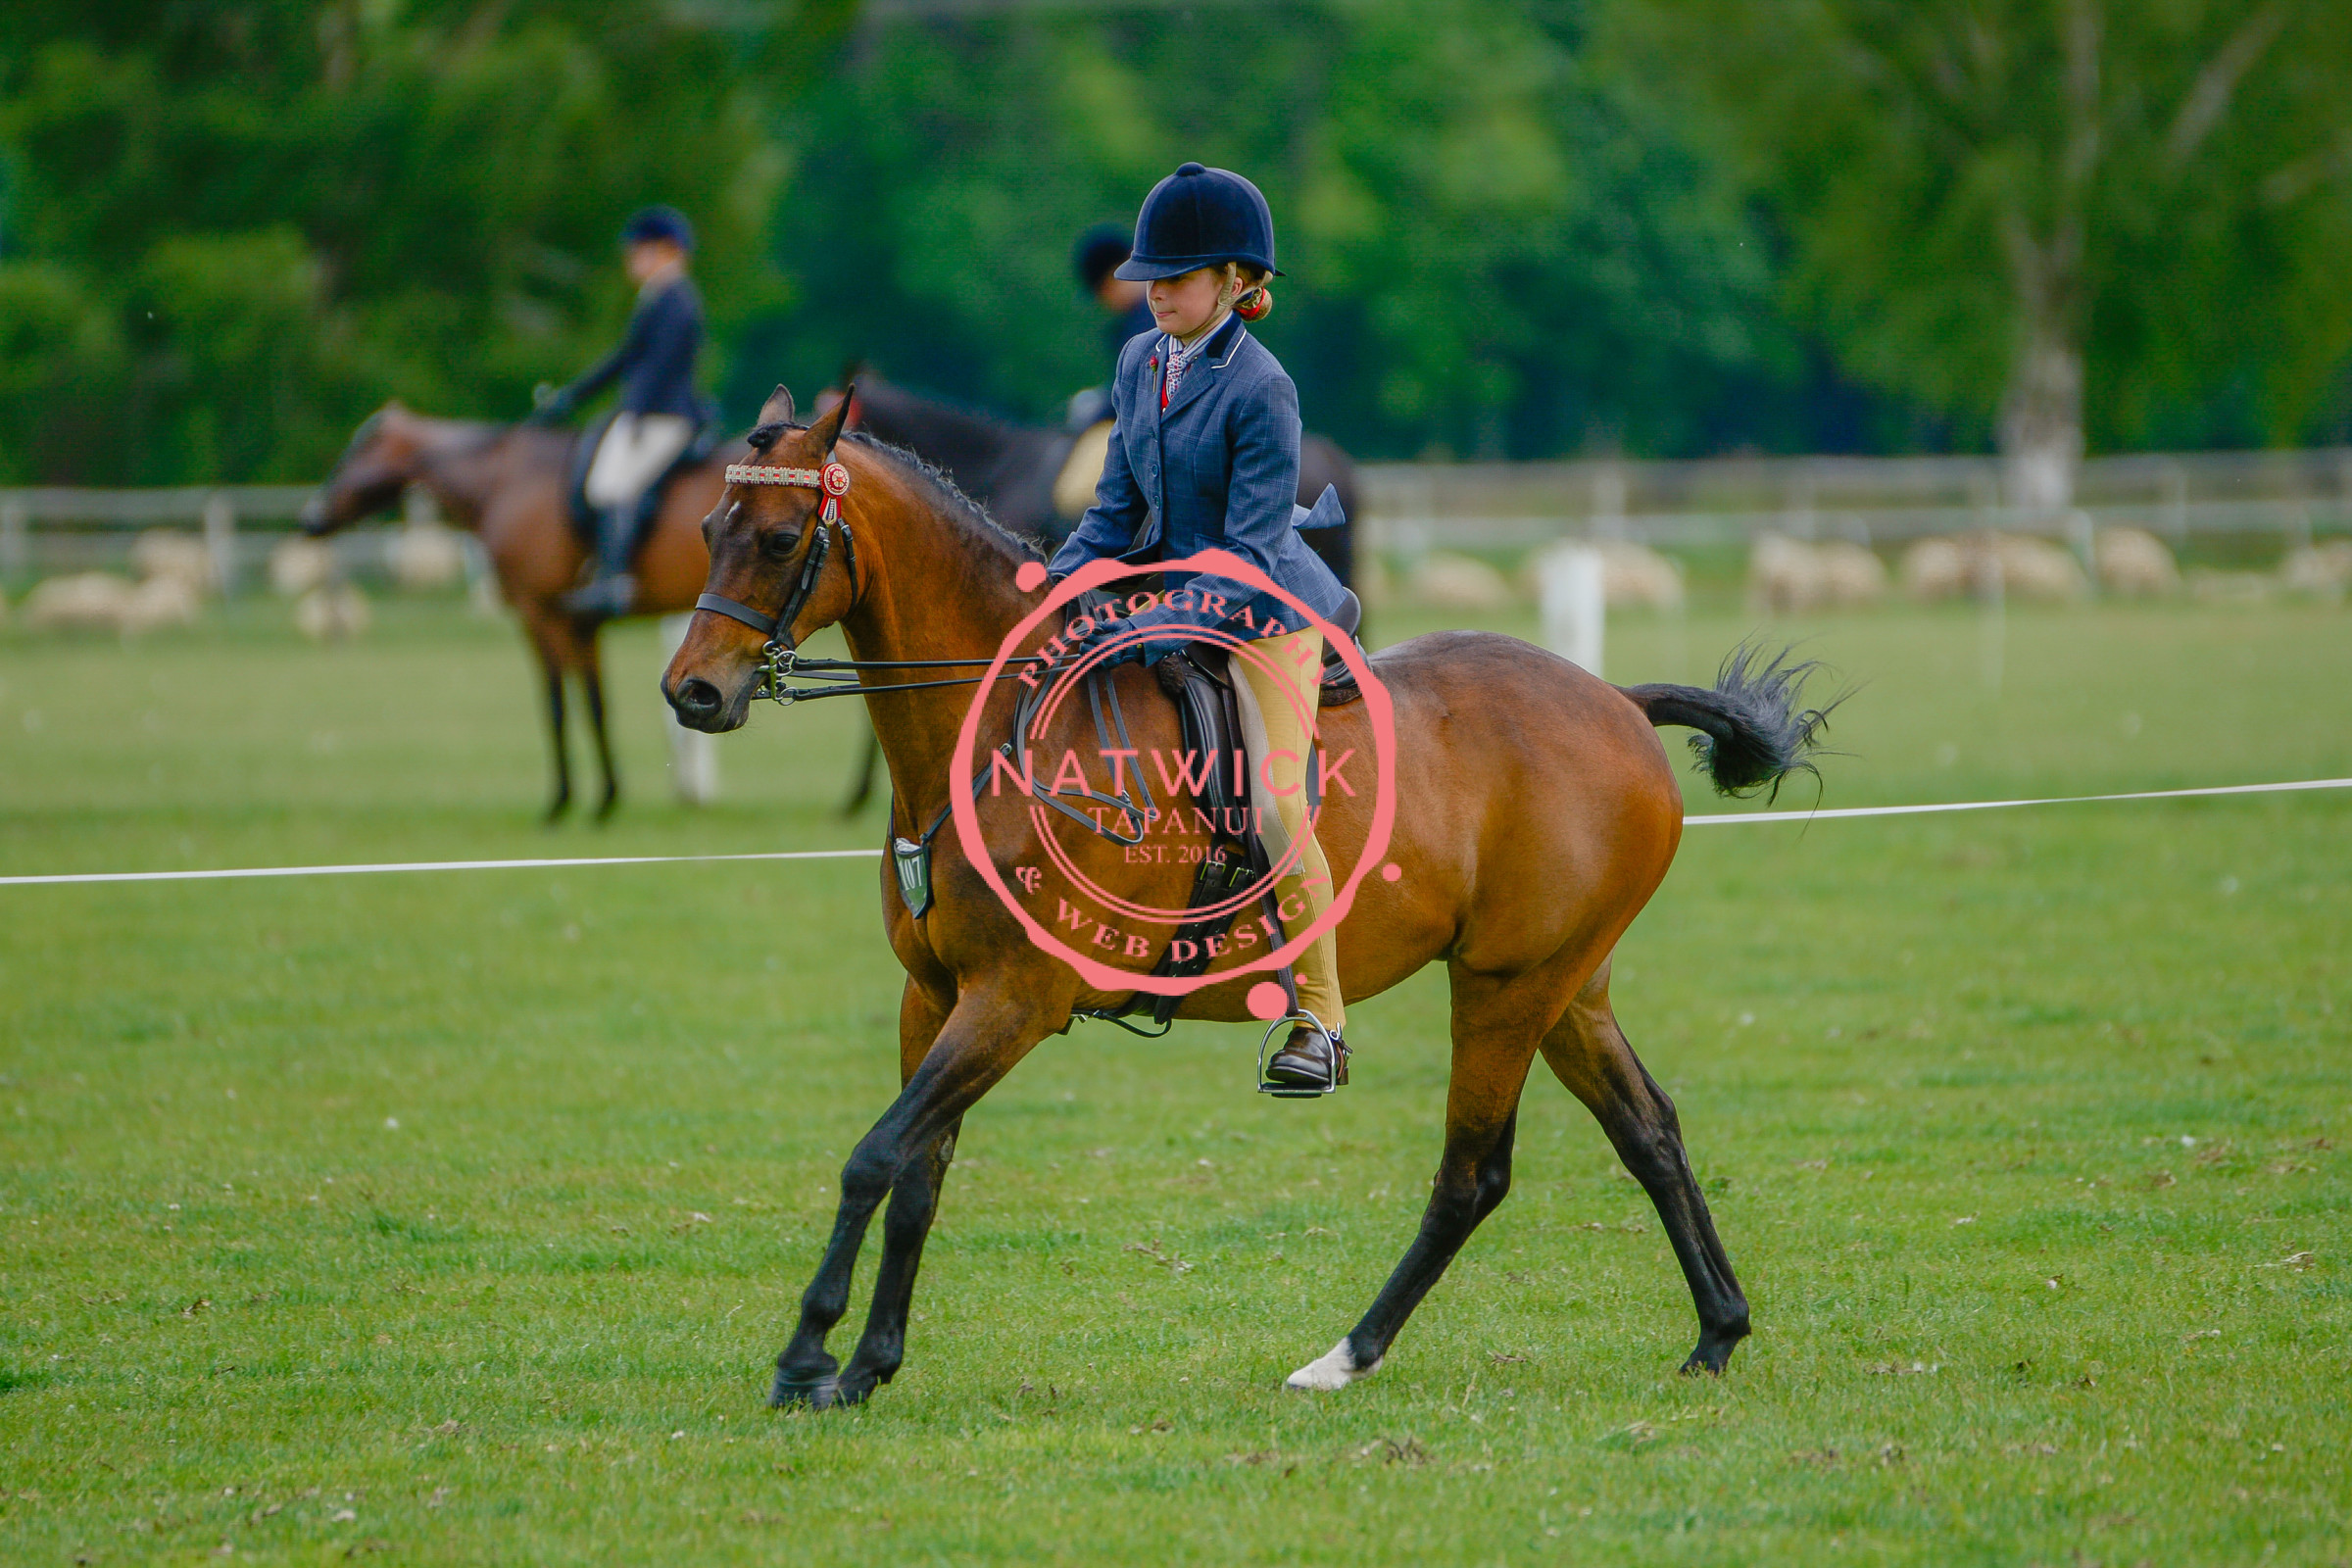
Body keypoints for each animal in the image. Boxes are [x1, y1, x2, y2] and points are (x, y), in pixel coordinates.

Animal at [303, 403, 741, 819]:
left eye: (356, 450)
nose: (311, 519)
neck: (505, 481)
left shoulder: (538, 614)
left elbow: (555, 705)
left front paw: (560, 803)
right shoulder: (581, 626)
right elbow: (596, 704)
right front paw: (606, 799)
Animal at [665, 388, 1831, 1409]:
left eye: (781, 539)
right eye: (712, 525)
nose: (693, 693)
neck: (1000, 732)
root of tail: (1617, 701)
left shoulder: (1015, 1000)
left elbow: (874, 1156)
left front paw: (807, 1357)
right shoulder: (936, 995)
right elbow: (918, 1172)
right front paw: (868, 1365)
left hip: (1506, 988)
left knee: (1473, 1174)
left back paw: (1344, 1358)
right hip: (1566, 986)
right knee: (1650, 1132)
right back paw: (1717, 1333)